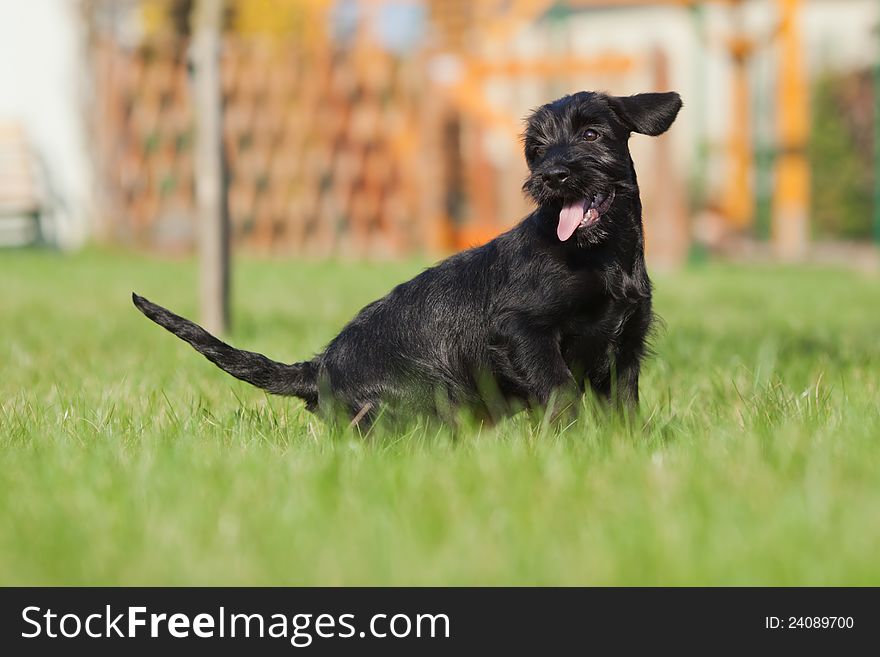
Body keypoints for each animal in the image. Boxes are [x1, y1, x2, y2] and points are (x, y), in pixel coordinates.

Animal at [132, 91, 680, 426]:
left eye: (591, 134)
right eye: (537, 148)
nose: (552, 176)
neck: (601, 255)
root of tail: (319, 368)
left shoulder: (624, 351)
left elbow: (623, 410)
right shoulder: (524, 331)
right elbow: (562, 393)